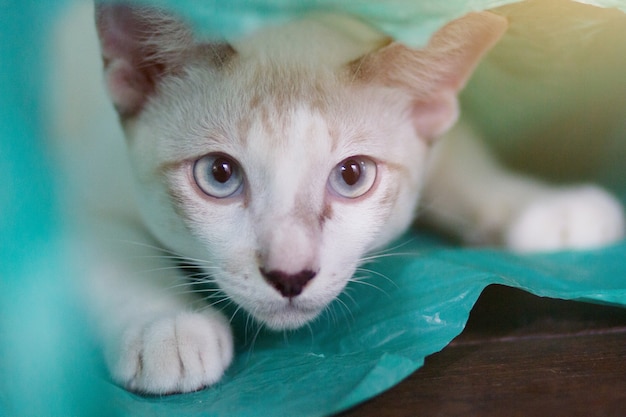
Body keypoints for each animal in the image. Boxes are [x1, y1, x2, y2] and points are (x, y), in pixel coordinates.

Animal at [51, 2, 620, 394]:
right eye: (219, 174)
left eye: (351, 176)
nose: (289, 275)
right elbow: (120, 255)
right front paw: (167, 327)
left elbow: (464, 163)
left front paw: (549, 210)